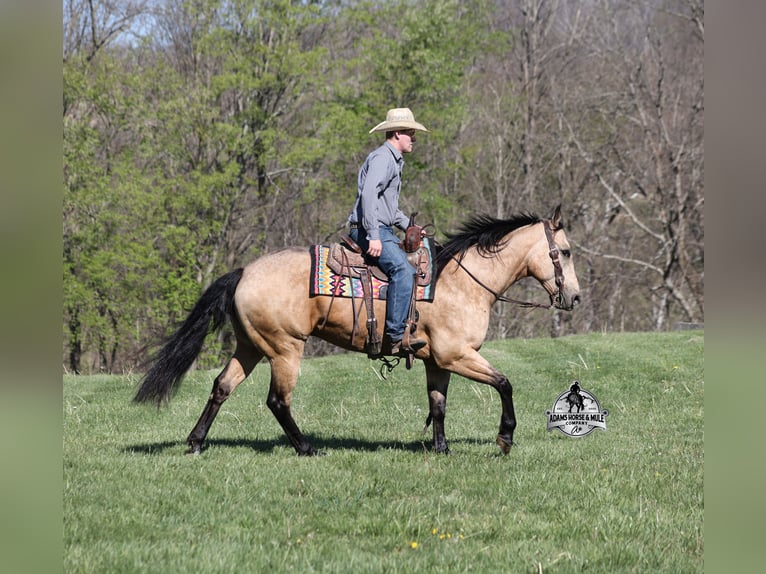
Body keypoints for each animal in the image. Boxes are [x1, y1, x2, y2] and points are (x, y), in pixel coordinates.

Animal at [134, 205, 581, 455]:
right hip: (285, 350)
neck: (462, 282)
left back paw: (195, 442)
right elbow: (504, 383)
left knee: (221, 388)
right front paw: (505, 438)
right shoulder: (457, 354)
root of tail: (244, 271)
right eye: (565, 251)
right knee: (278, 401)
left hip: (251, 347)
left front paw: (441, 449)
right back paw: (307, 449)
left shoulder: (438, 361)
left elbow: (438, 406)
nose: (574, 297)